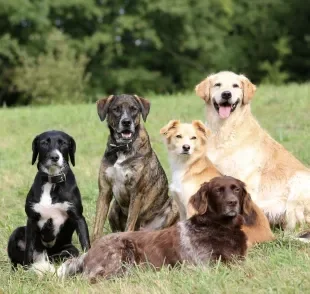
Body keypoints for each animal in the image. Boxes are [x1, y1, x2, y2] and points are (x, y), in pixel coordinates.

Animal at [7, 131, 90, 274]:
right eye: (44, 143)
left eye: (63, 143)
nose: (54, 157)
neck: (51, 181)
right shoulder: (31, 219)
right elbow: (28, 249)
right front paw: (27, 270)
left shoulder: (78, 217)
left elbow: (85, 243)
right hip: (17, 232)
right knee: (16, 261)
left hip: (69, 249)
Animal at [57, 176, 247, 282]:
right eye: (218, 190)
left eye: (236, 189)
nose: (232, 203)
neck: (219, 228)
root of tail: (89, 251)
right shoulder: (203, 266)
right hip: (120, 256)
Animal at [91, 94, 179, 241]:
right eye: (116, 109)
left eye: (134, 109)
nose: (126, 122)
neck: (122, 148)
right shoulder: (104, 191)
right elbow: (96, 229)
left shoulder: (136, 193)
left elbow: (129, 226)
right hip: (113, 208)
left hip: (173, 206)